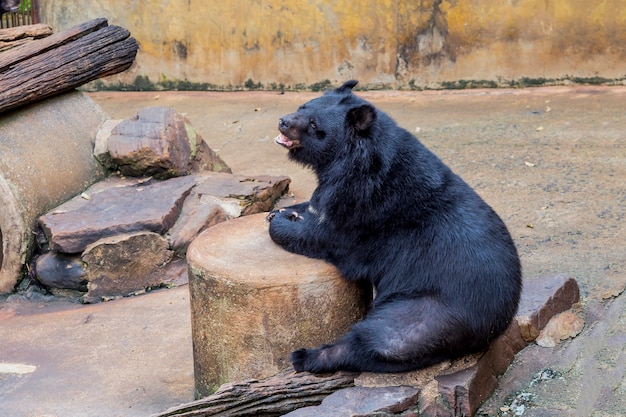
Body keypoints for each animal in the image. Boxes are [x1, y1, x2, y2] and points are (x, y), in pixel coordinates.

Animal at [266, 79, 520, 372]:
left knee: (379, 339)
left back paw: (307, 356)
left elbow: (325, 235)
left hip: (424, 310)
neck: (352, 158)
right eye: (303, 106)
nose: (283, 122)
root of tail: (492, 327)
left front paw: (281, 221)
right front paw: (285, 210)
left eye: (313, 123)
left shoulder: (362, 206)